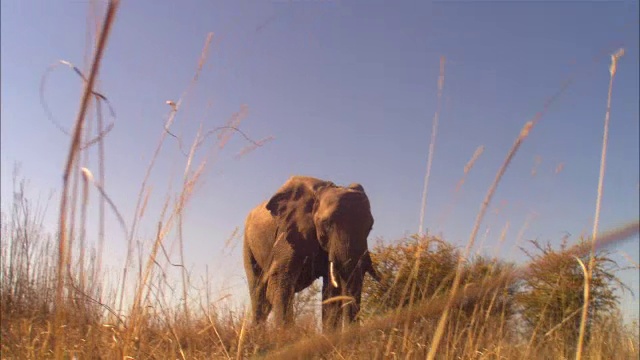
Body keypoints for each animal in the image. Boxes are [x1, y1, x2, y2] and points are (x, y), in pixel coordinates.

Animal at [242, 176, 378, 330]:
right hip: (248, 243)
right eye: (326, 223)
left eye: (370, 227)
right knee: (259, 293)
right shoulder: (288, 233)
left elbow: (331, 293)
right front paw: (286, 335)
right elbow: (280, 284)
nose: (350, 332)